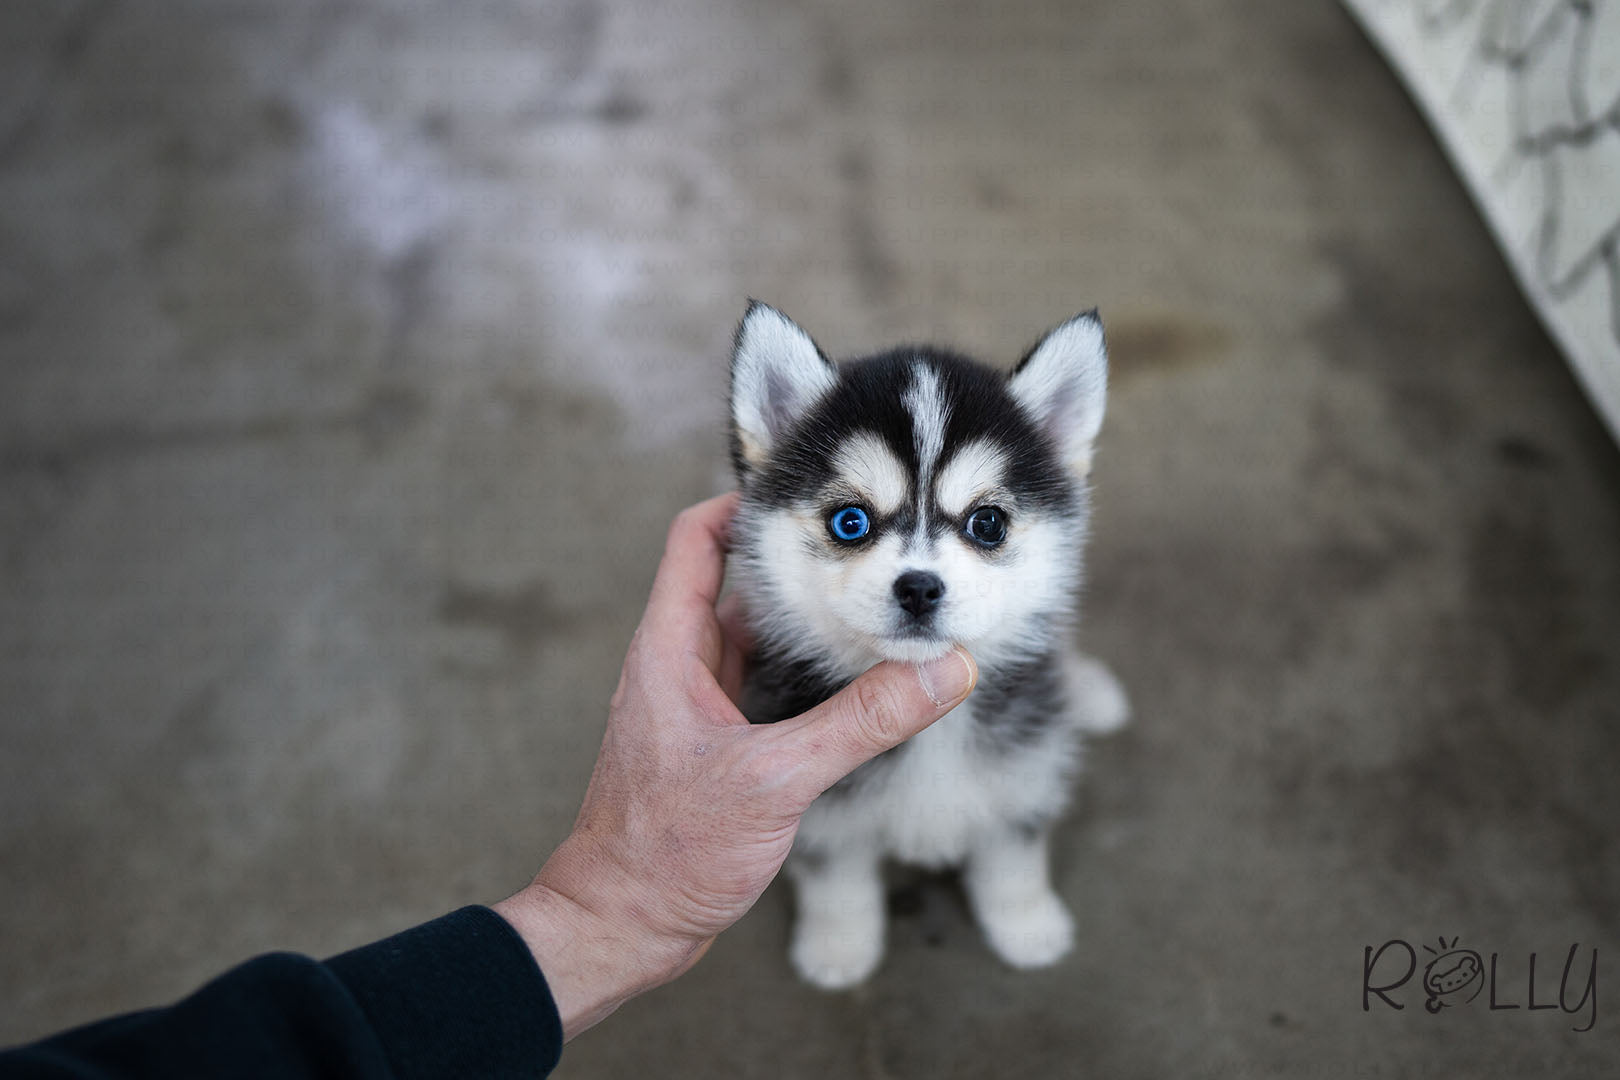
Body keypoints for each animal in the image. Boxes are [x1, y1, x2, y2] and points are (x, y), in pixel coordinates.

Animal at [725, 302, 1127, 990]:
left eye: (987, 523)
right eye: (850, 522)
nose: (918, 587)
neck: (932, 727)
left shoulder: (1022, 774)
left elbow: (1013, 861)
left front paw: (1028, 926)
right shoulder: (820, 807)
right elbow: (838, 883)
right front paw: (838, 946)